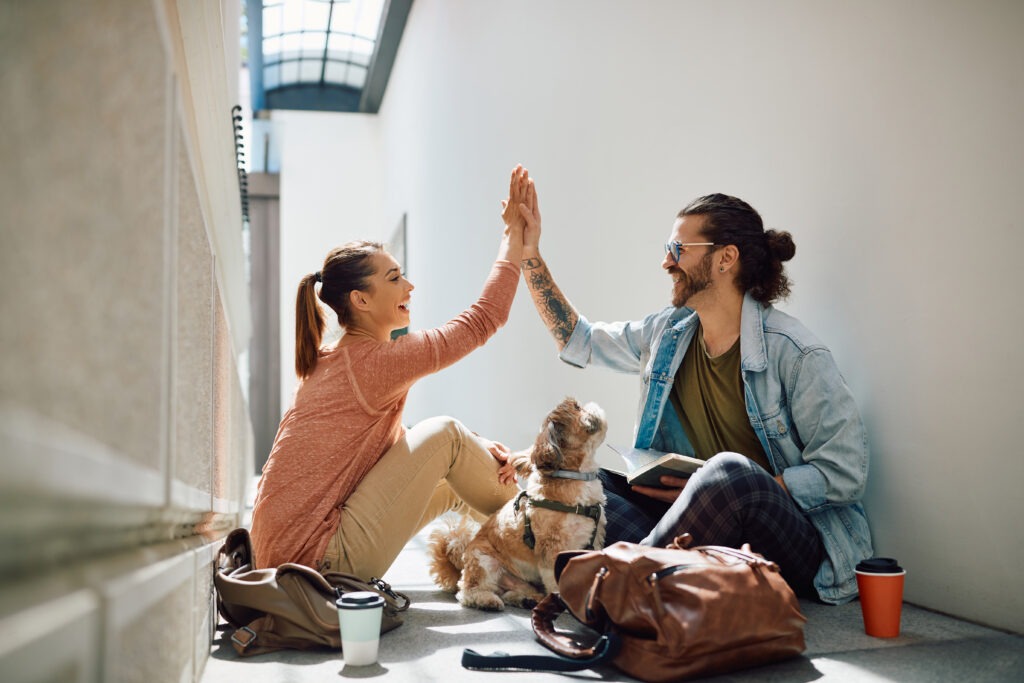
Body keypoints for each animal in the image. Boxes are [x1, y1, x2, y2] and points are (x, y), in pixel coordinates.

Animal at [425, 397, 602, 610]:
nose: (591, 404)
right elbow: (555, 580)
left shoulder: (593, 540)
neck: (574, 476)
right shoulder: (551, 549)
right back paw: (487, 600)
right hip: (484, 561)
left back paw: (525, 599)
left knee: (514, 592)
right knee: (468, 591)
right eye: (577, 407)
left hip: (520, 581)